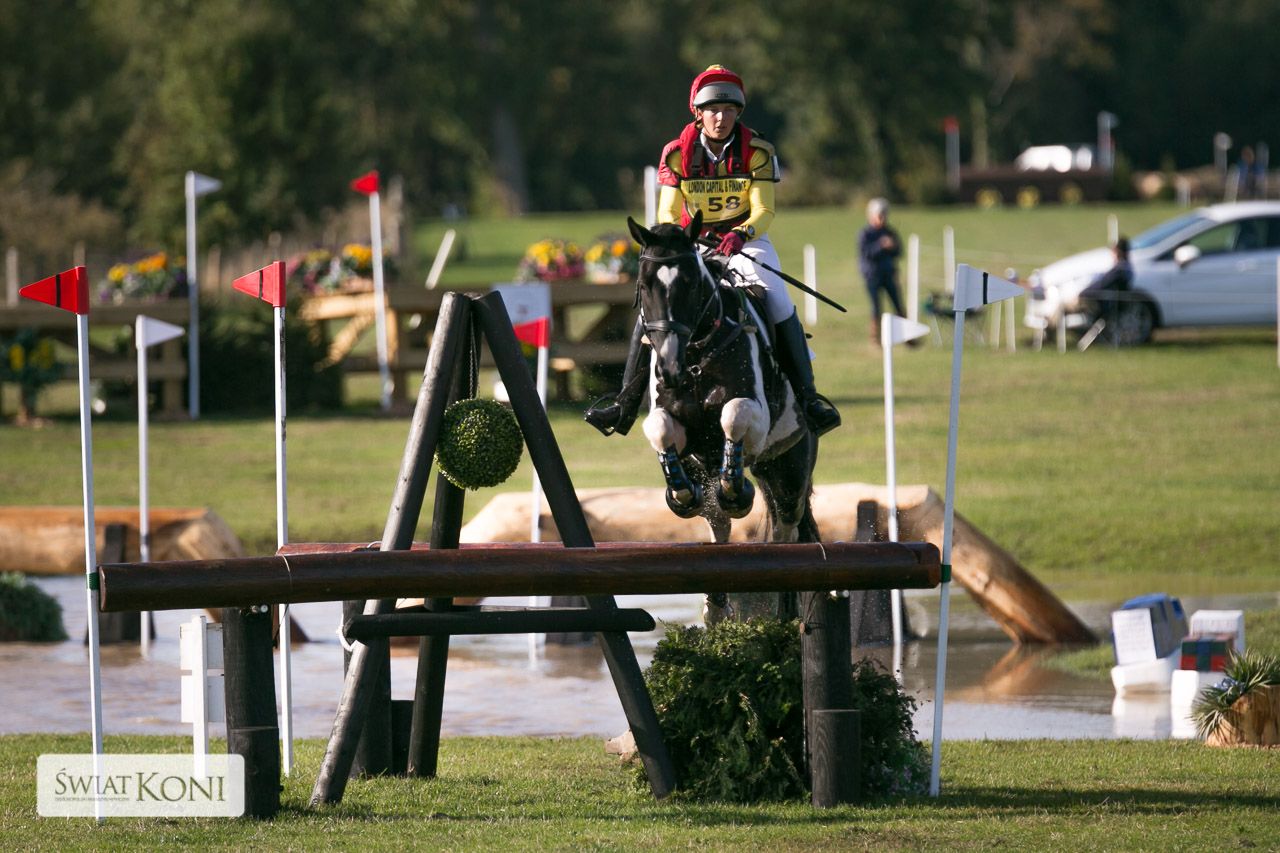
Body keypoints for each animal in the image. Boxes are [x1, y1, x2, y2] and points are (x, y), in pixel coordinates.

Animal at [626, 212, 820, 619]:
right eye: (644, 285)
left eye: (691, 284)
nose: (669, 369)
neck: (697, 352)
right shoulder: (675, 427)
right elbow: (659, 427)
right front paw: (681, 494)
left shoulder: (756, 422)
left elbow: (734, 414)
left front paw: (736, 491)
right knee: (719, 527)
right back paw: (715, 608)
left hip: (790, 471)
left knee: (786, 531)